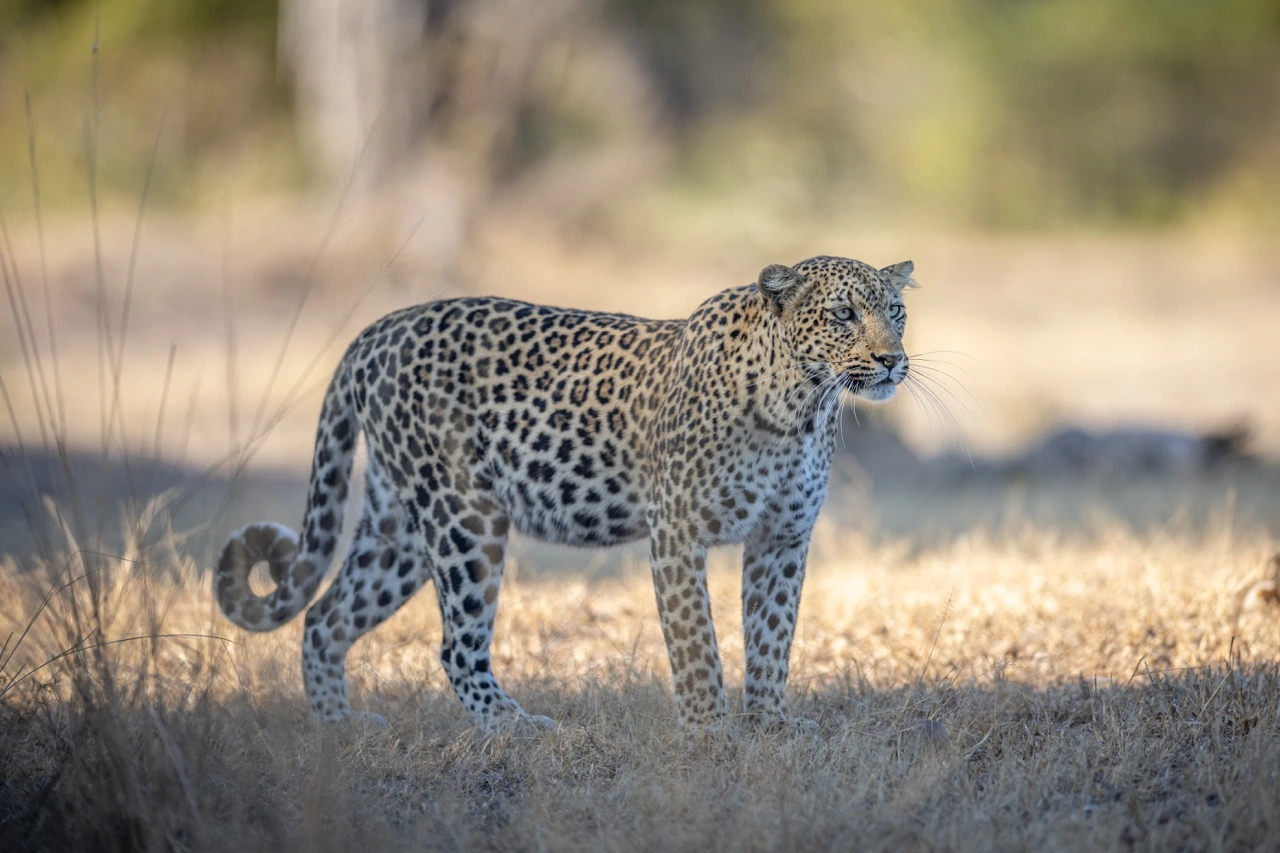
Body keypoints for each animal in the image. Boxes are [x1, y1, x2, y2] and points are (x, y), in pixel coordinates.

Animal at [215, 253, 916, 732]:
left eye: (896, 312)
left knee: (324, 618)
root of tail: (374, 332)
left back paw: (339, 728)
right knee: (455, 645)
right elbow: (695, 641)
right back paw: (517, 729)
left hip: (400, 529)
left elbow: (772, 637)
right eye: (843, 314)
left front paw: (770, 726)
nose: (892, 360)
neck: (801, 407)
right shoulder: (677, 530)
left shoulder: (782, 536)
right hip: (466, 517)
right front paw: (710, 731)